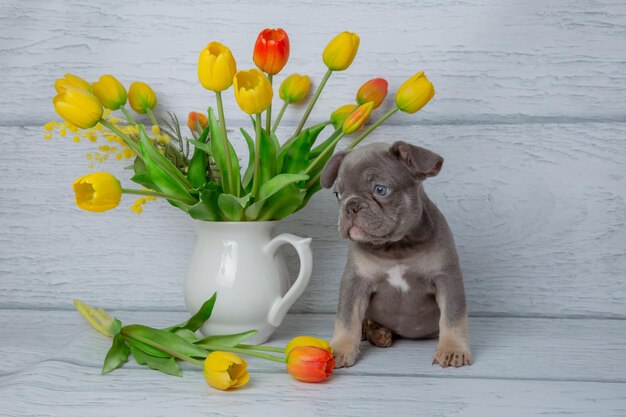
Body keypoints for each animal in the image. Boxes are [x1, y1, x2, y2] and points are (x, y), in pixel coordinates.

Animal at [320, 141, 470, 368]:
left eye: (380, 189)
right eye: (338, 194)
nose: (351, 205)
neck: (397, 246)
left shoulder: (447, 278)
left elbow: (452, 317)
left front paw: (453, 348)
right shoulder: (355, 282)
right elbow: (347, 318)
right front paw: (340, 348)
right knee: (364, 323)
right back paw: (378, 333)